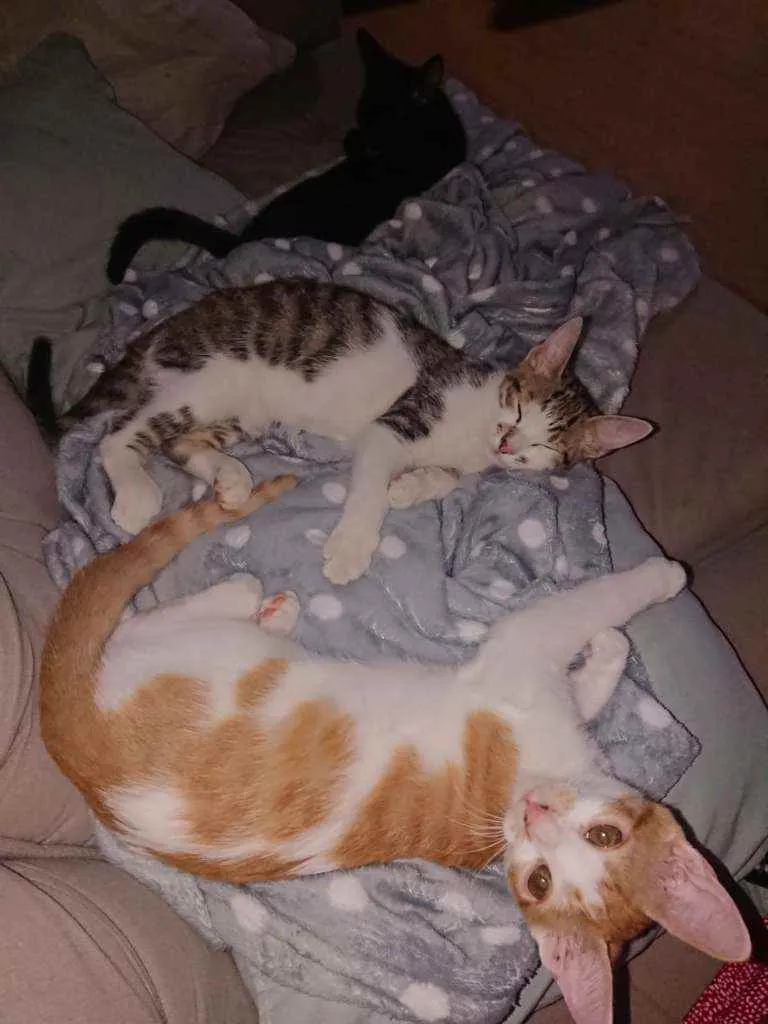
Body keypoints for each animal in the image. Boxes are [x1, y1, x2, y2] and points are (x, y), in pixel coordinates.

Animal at [39, 477, 751, 1024]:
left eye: (537, 882)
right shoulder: (520, 656)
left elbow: (583, 665)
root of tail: (69, 729)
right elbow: (586, 619)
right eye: (600, 838)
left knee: (142, 619)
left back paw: (267, 608)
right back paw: (256, 599)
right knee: (143, 614)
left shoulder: (522, 677)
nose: (537, 813)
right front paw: (647, 595)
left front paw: (614, 637)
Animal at [53, 278, 654, 585]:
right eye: (521, 407)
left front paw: (412, 486)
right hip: (204, 381)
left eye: (546, 446)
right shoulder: (398, 422)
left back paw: (230, 477)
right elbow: (369, 489)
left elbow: (445, 476)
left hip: (239, 411)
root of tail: (167, 328)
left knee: (180, 441)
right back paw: (135, 492)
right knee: (120, 433)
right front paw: (351, 548)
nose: (509, 442)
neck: (477, 423)